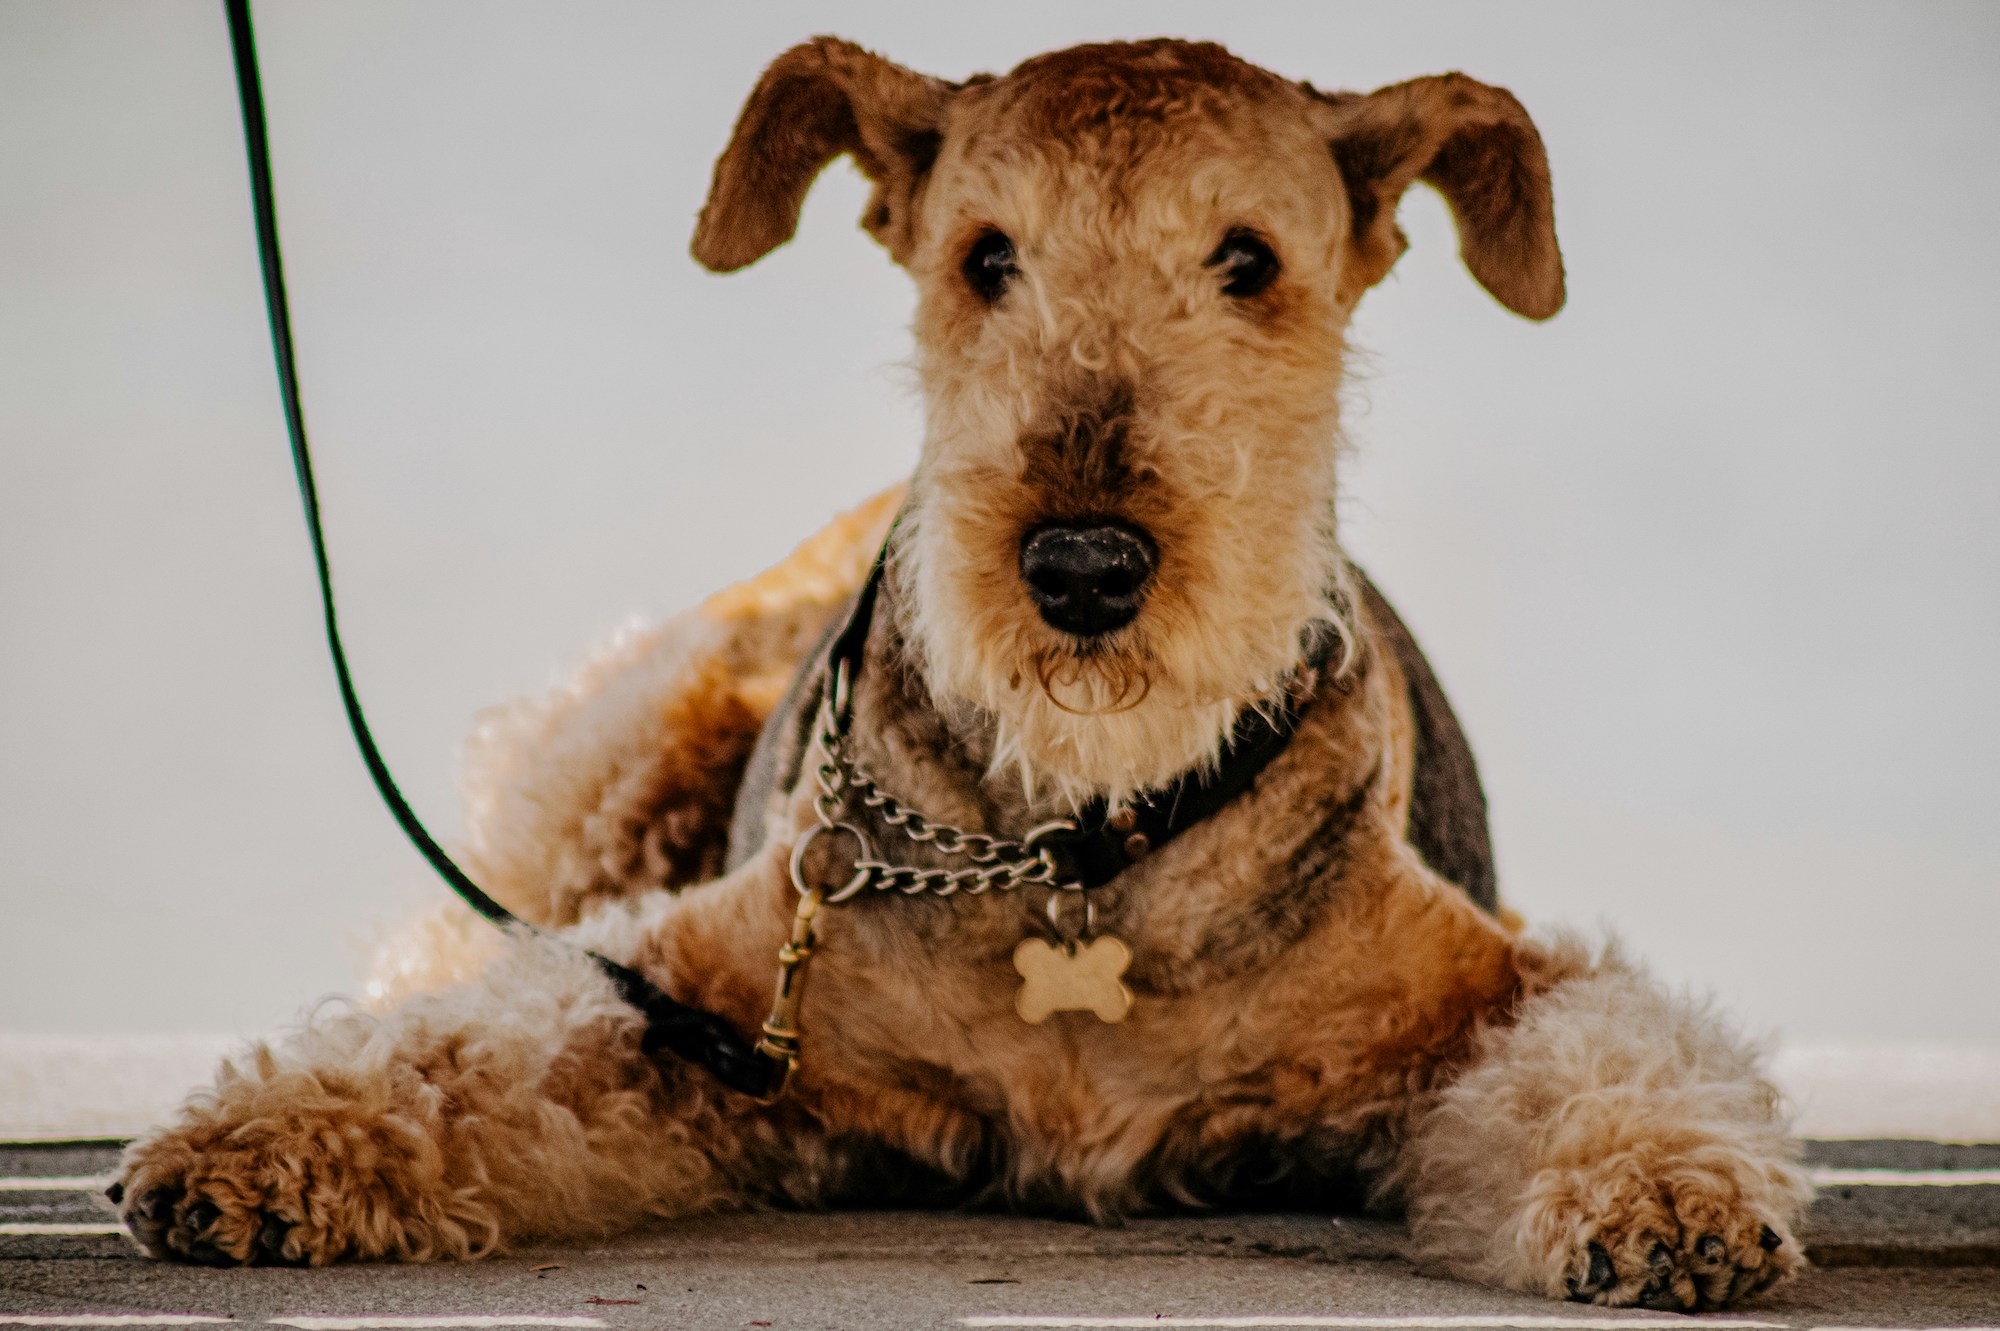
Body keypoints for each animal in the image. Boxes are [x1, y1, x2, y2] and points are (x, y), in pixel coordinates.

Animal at [117, 38, 1824, 1303]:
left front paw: (1673, 1195)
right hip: (602, 781)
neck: (1079, 835)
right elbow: (481, 1043)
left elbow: (1609, 1051)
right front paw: (253, 1139)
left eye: (1250, 259)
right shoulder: (694, 1008)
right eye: (986, 254)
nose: (1082, 567)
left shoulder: (1500, 986)